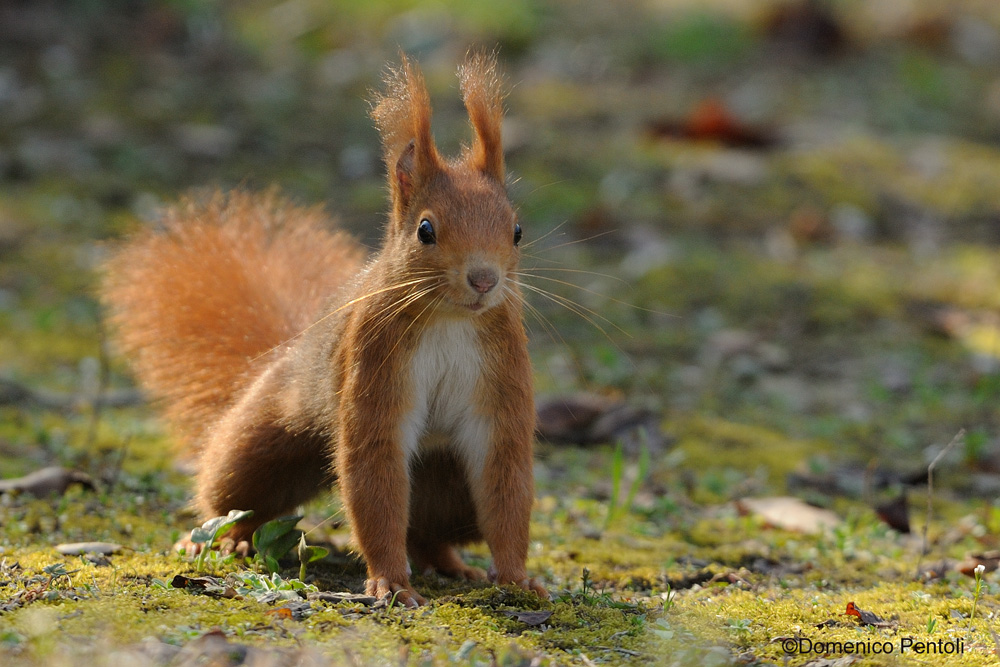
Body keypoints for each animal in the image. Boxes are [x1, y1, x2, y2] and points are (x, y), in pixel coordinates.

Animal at [101, 53, 547, 607]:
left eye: (517, 230)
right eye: (425, 230)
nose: (485, 280)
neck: (451, 320)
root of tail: (287, 350)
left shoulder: (502, 374)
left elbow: (504, 476)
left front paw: (516, 577)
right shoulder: (374, 359)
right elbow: (374, 469)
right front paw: (391, 582)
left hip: (448, 488)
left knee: (427, 532)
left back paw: (450, 563)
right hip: (261, 443)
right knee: (237, 497)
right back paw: (218, 540)